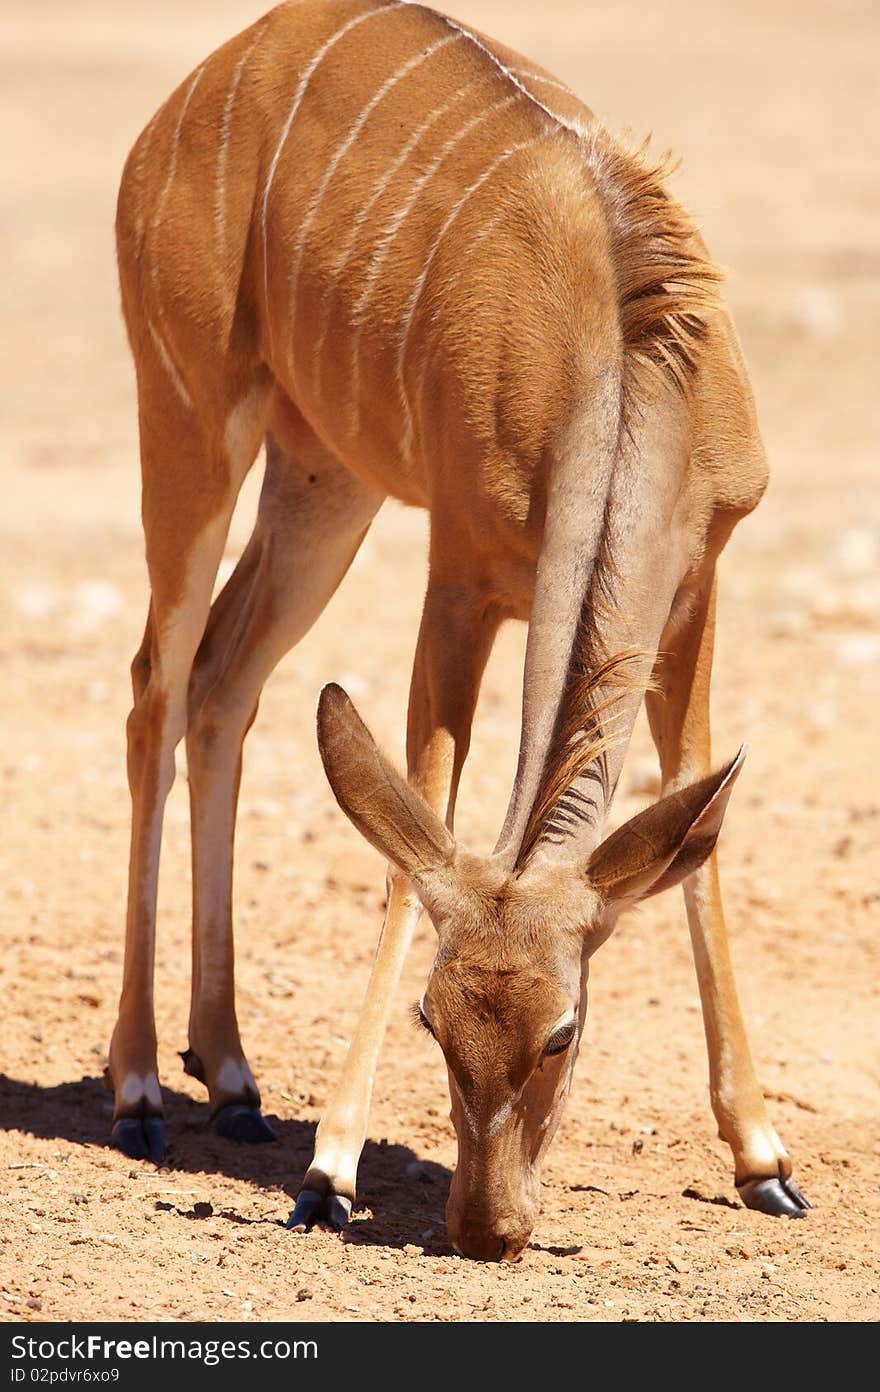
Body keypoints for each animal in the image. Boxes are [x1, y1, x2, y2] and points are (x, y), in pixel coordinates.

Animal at [111, 0, 813, 1258]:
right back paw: (141, 1087)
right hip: (189, 414)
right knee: (157, 684)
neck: (621, 358)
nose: (487, 1229)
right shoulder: (461, 570)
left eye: (563, 1032)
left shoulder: (700, 581)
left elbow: (702, 827)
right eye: (433, 1022)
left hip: (324, 481)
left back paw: (232, 1076)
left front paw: (763, 1160)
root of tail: (195, 88)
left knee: (224, 682)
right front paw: (329, 1169)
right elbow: (417, 831)